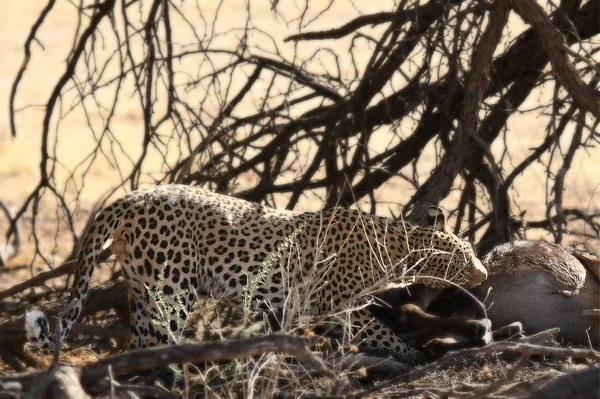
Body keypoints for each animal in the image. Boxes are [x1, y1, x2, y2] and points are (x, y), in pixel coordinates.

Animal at [29, 186, 488, 360]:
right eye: (466, 259)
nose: (483, 276)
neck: (394, 250)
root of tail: (130, 197)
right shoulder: (334, 304)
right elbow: (377, 331)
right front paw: (409, 353)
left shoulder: (288, 306)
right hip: (172, 289)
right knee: (162, 339)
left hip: (143, 290)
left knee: (140, 342)